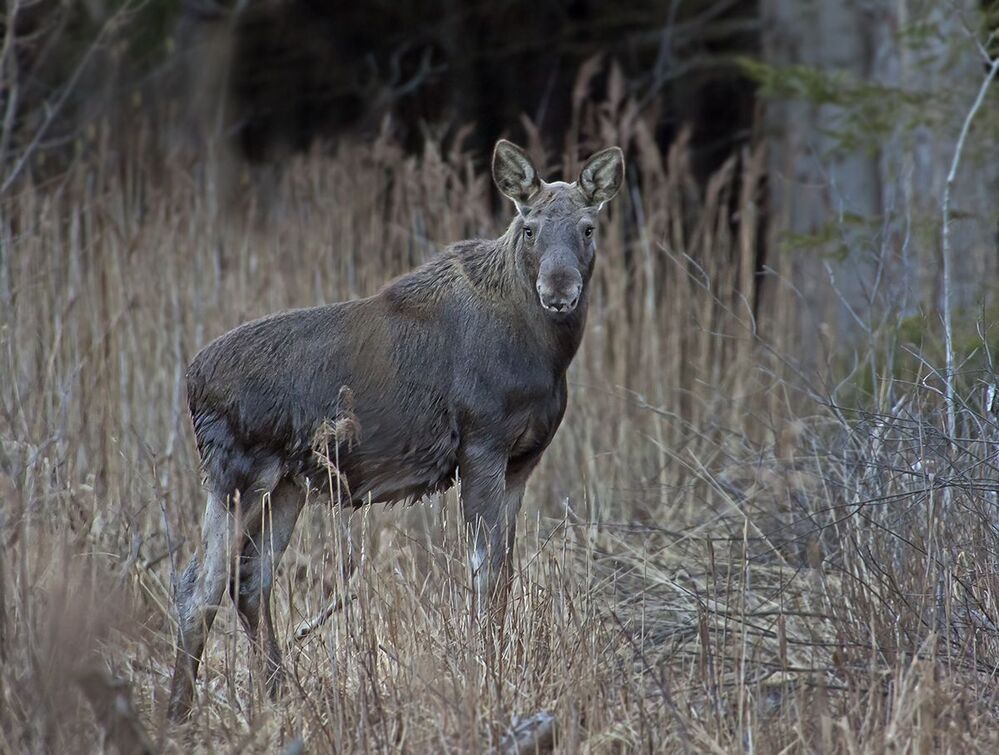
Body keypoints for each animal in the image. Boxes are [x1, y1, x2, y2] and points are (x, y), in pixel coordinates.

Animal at [167, 140, 625, 721]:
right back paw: (180, 711)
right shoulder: (482, 444)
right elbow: (484, 572)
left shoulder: (523, 461)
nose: (559, 290)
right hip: (236, 474)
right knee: (198, 586)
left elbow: (504, 575)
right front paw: (487, 673)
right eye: (529, 228)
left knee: (249, 581)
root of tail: (191, 381)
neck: (545, 354)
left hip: (289, 483)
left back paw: (280, 694)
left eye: (588, 227)